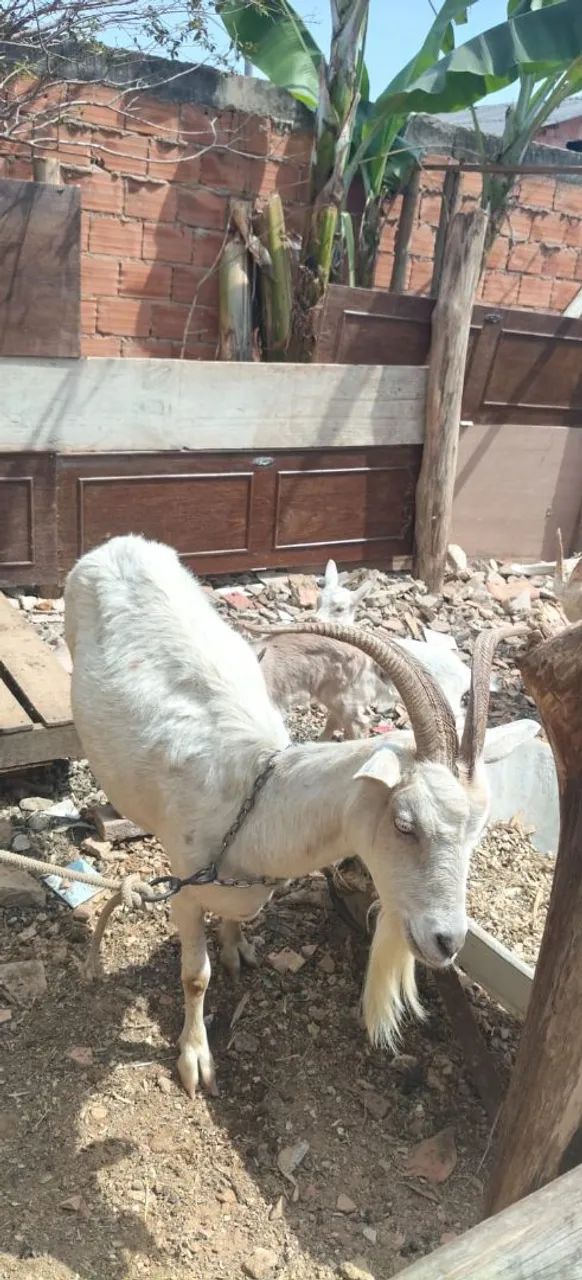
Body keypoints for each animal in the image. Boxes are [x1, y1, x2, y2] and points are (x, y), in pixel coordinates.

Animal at [65, 535, 534, 1099]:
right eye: (404, 823)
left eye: (476, 834)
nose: (447, 942)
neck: (255, 804)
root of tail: (120, 544)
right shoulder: (182, 888)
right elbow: (195, 976)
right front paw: (195, 1060)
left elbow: (235, 923)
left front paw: (237, 950)